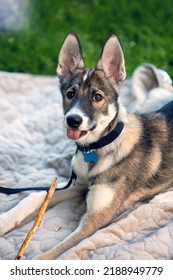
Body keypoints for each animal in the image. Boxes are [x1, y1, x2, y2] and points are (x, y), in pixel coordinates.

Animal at [32, 33, 173, 260]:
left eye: (97, 97)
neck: (96, 148)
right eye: (70, 94)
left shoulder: (96, 217)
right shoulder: (78, 184)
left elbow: (48, 255)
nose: (73, 121)